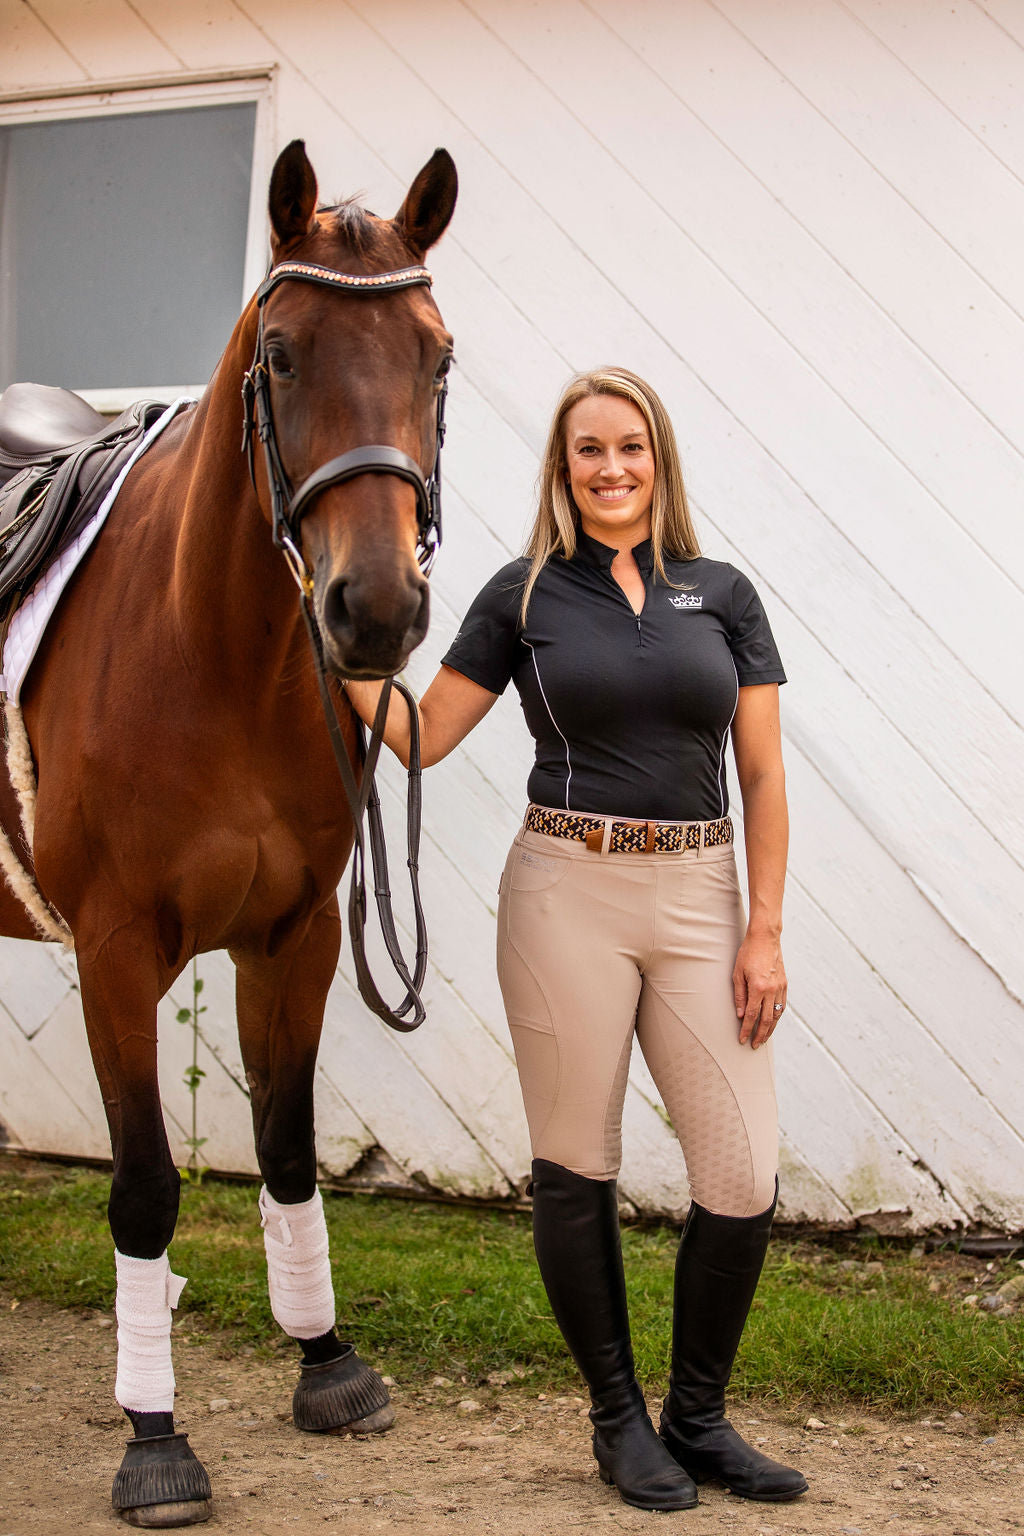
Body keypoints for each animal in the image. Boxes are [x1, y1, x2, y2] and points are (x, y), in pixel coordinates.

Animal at [0, 141, 457, 1523]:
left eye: (437, 356)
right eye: (284, 353)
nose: (376, 609)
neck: (211, 652)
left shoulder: (292, 939)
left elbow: (289, 1148)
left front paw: (326, 1363)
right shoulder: (113, 954)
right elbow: (145, 1186)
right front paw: (153, 1434)